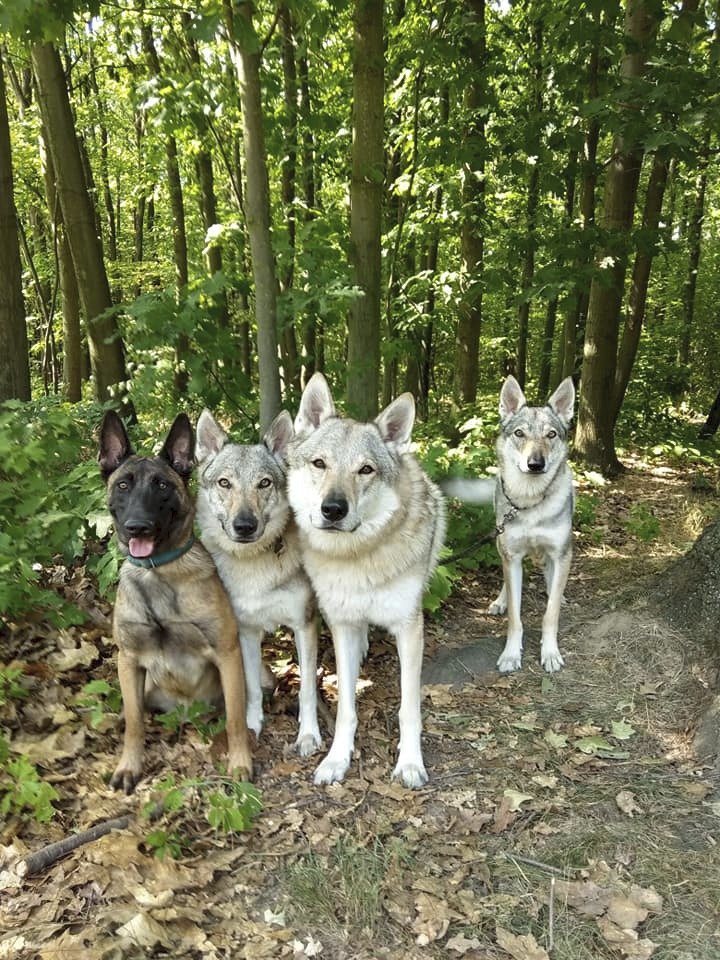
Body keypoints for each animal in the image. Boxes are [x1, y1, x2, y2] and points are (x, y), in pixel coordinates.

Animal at [95, 412, 253, 796]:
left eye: (162, 486)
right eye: (123, 485)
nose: (137, 527)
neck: (160, 572)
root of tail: (186, 711)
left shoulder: (227, 654)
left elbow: (236, 719)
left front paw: (240, 763)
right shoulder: (128, 659)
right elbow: (135, 723)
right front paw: (129, 766)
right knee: (134, 711)